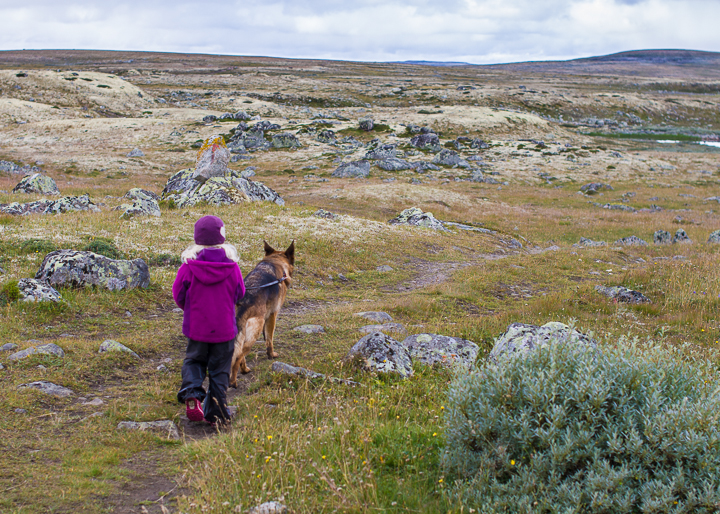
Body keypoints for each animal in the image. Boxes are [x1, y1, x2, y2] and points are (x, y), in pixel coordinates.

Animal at [229, 238, 294, 386]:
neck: (274, 262)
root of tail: (241, 303)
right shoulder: (272, 315)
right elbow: (269, 339)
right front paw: (271, 355)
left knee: (239, 353)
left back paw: (245, 369)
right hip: (255, 331)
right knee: (238, 357)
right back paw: (234, 381)